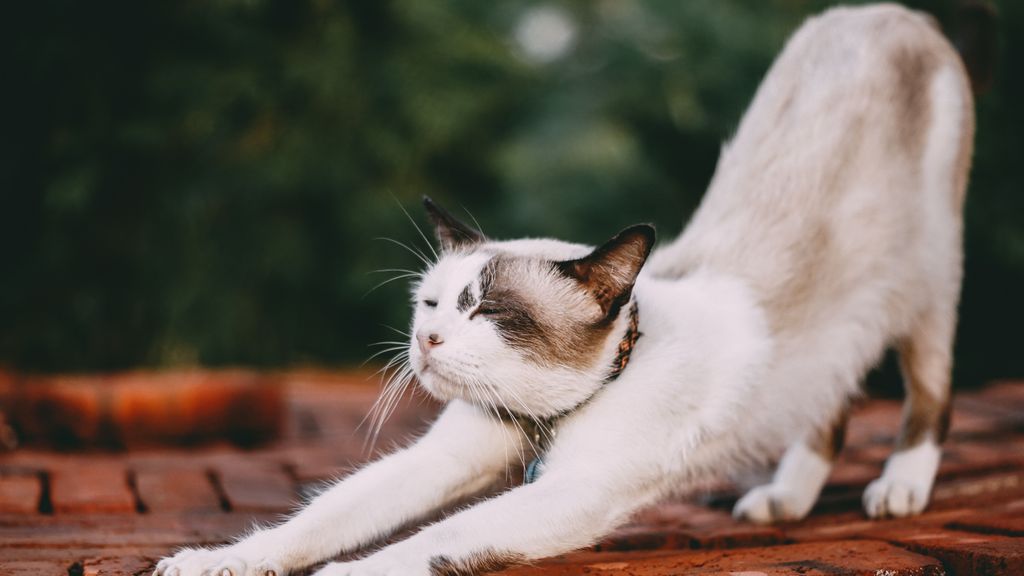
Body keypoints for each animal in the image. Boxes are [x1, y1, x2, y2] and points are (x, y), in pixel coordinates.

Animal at [155, 4, 987, 573]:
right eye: (431, 305)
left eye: (487, 310)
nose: (426, 341)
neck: (543, 420)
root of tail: (885, 13)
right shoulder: (445, 459)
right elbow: (318, 520)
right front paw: (213, 562)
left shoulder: (572, 492)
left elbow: (425, 544)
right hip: (848, 332)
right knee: (832, 399)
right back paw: (783, 500)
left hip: (926, 288)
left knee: (929, 393)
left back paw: (899, 488)